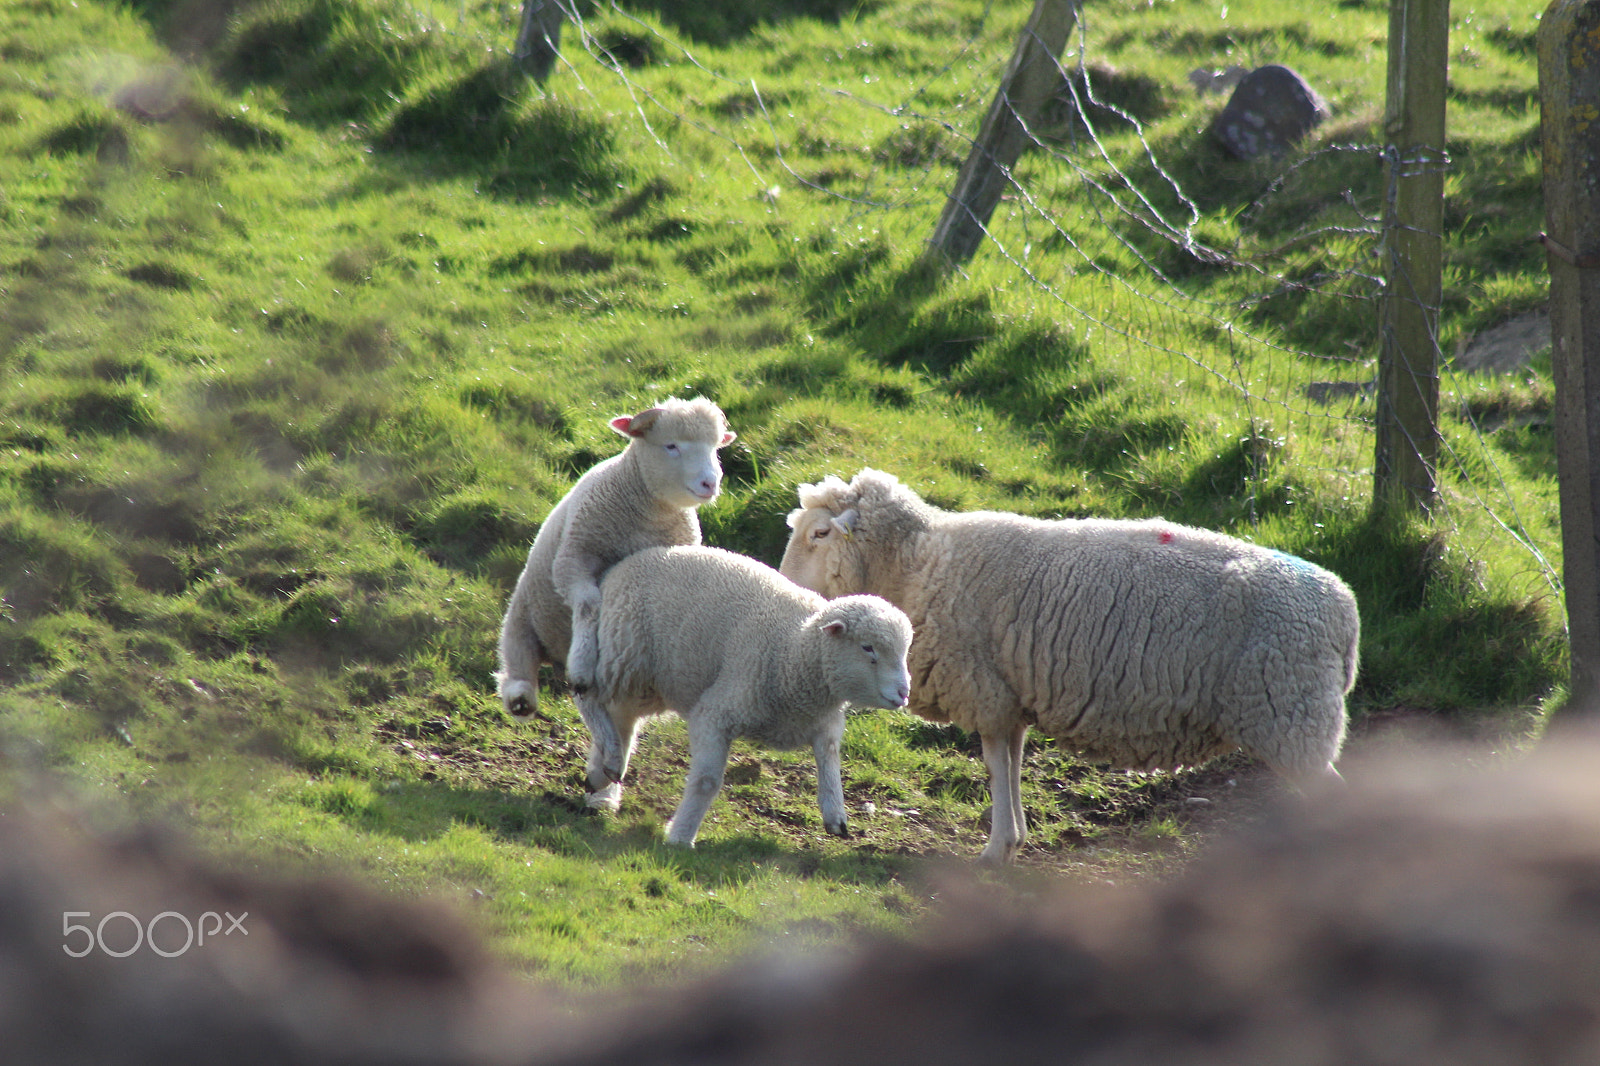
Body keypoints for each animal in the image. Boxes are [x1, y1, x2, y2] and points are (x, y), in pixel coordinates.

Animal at [492, 393, 736, 736]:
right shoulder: (572, 559)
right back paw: (520, 698)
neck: (648, 512)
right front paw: (582, 666)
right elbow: (589, 604)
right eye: (671, 446)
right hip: (521, 616)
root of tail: (553, 657)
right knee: (517, 659)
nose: (710, 483)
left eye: (715, 448)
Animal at [585, 544, 915, 845]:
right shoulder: (715, 713)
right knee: (594, 700)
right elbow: (706, 782)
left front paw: (835, 814)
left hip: (651, 681)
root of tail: (628, 561)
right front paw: (681, 836)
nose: (904, 693)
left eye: (905, 651)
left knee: (624, 721)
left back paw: (604, 777)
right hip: (625, 654)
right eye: (868, 648)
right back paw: (606, 768)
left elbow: (830, 759)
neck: (794, 650)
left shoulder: (824, 722)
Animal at [780, 467, 1356, 864]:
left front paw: (996, 850)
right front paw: (1014, 839)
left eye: (819, 535)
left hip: (1292, 718)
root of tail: (1344, 611)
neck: (918, 564)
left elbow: (995, 767)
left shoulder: (987, 690)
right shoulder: (1011, 696)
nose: (781, 584)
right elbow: (1010, 767)